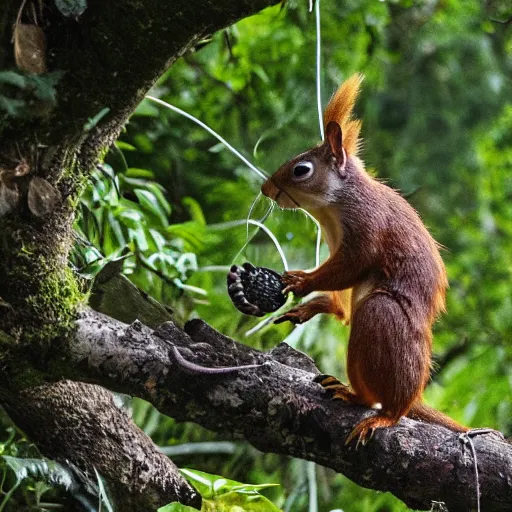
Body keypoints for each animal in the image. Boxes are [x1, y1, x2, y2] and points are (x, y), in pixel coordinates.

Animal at [262, 73, 470, 444]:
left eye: (301, 170)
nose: (266, 189)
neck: (332, 209)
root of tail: (413, 396)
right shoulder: (334, 244)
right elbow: (341, 302)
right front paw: (313, 305)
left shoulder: (367, 227)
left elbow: (351, 266)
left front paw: (302, 281)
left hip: (382, 317)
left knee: (387, 405)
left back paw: (372, 408)